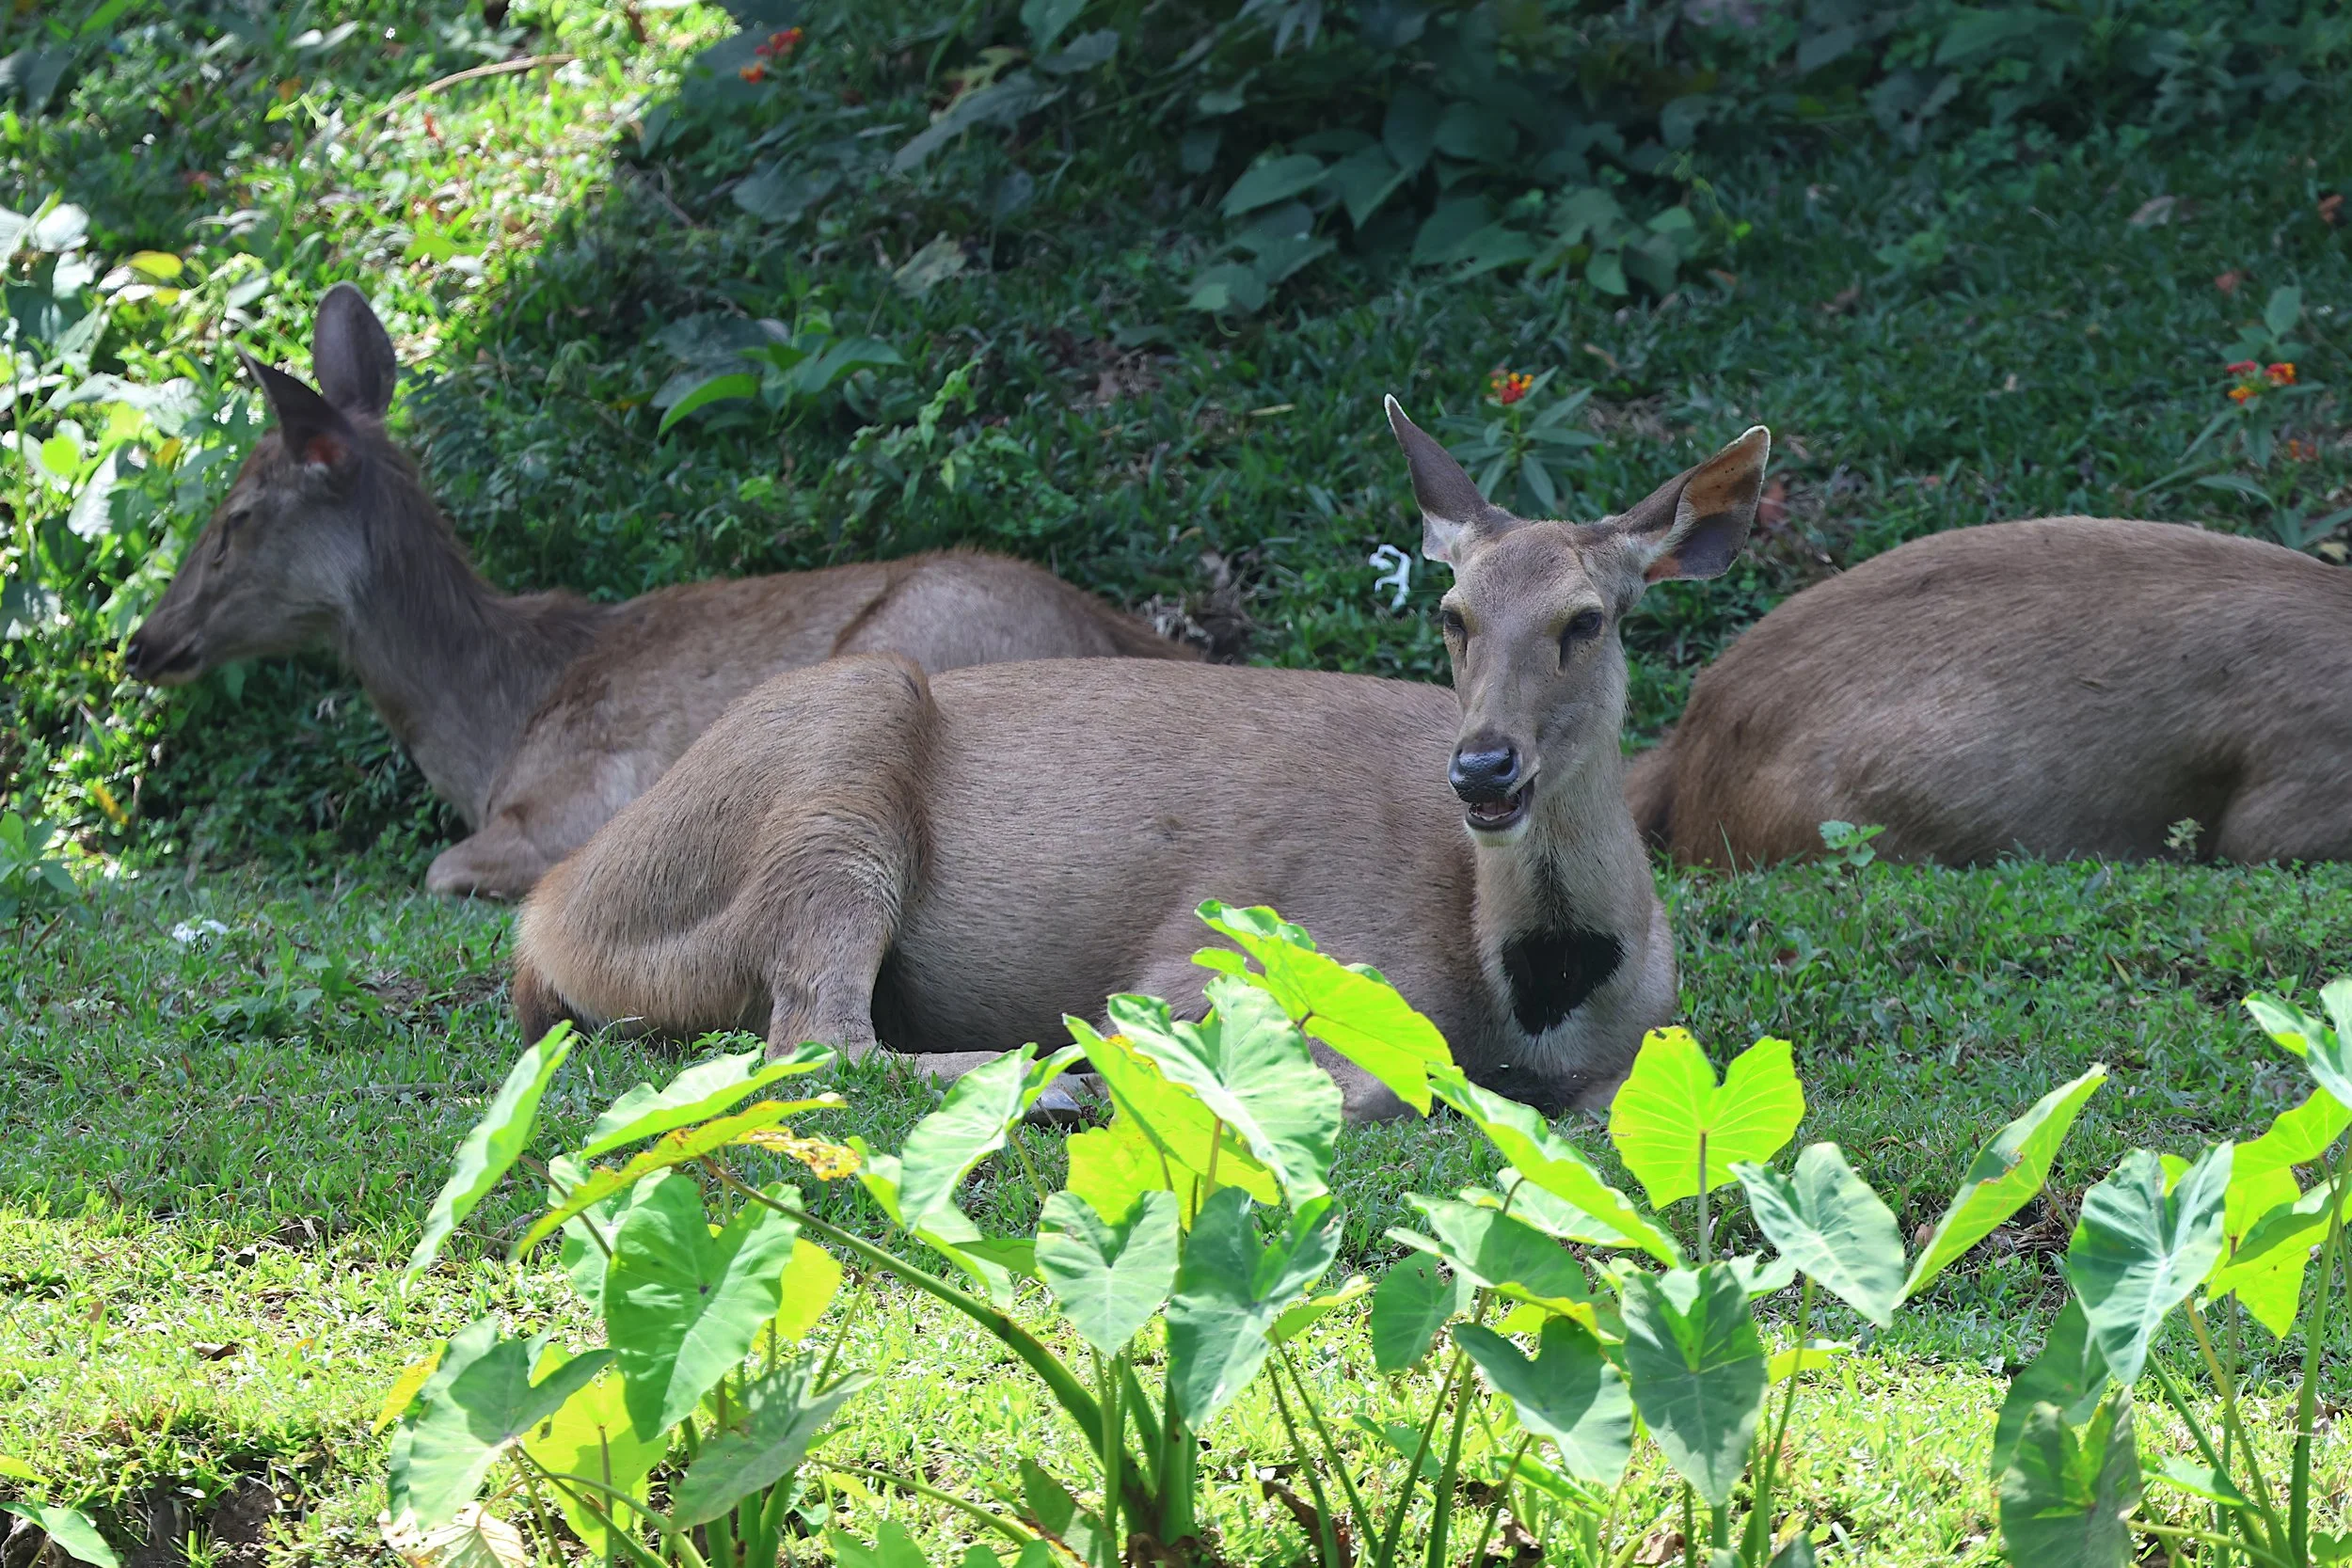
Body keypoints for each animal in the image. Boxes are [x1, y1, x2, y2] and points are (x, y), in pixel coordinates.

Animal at [510, 401, 1770, 1119]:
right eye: (1452, 612)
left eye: (1586, 619)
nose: (1482, 769)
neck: (1533, 992)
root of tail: (548, 919)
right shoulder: (1220, 951)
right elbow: (1367, 1081)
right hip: (841, 761)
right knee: (814, 1035)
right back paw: (1055, 1083)